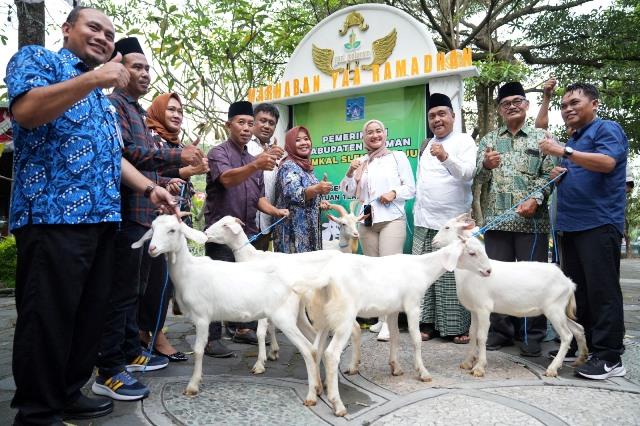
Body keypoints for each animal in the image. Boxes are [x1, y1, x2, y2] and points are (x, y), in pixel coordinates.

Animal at [132, 215, 328, 404]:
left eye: (172, 230)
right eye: (152, 229)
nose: (152, 248)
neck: (188, 272)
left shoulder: (202, 317)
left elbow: (199, 350)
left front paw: (193, 385)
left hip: (284, 317)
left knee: (308, 349)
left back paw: (312, 396)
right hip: (296, 315)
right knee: (315, 344)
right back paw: (319, 386)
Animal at [318, 240, 490, 416]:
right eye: (472, 253)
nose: (488, 271)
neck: (423, 268)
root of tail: (328, 278)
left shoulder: (393, 309)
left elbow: (395, 336)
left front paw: (396, 367)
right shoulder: (412, 305)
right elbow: (416, 339)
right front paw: (423, 372)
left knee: (316, 348)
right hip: (344, 315)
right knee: (331, 354)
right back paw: (337, 404)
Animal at [432, 215, 588, 378]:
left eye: (447, 227)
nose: (433, 241)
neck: (470, 273)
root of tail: (568, 282)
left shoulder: (484, 309)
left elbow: (481, 336)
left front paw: (479, 368)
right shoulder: (474, 310)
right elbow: (472, 334)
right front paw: (467, 363)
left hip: (554, 309)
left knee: (567, 335)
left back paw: (552, 368)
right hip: (558, 310)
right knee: (578, 328)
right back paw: (580, 359)